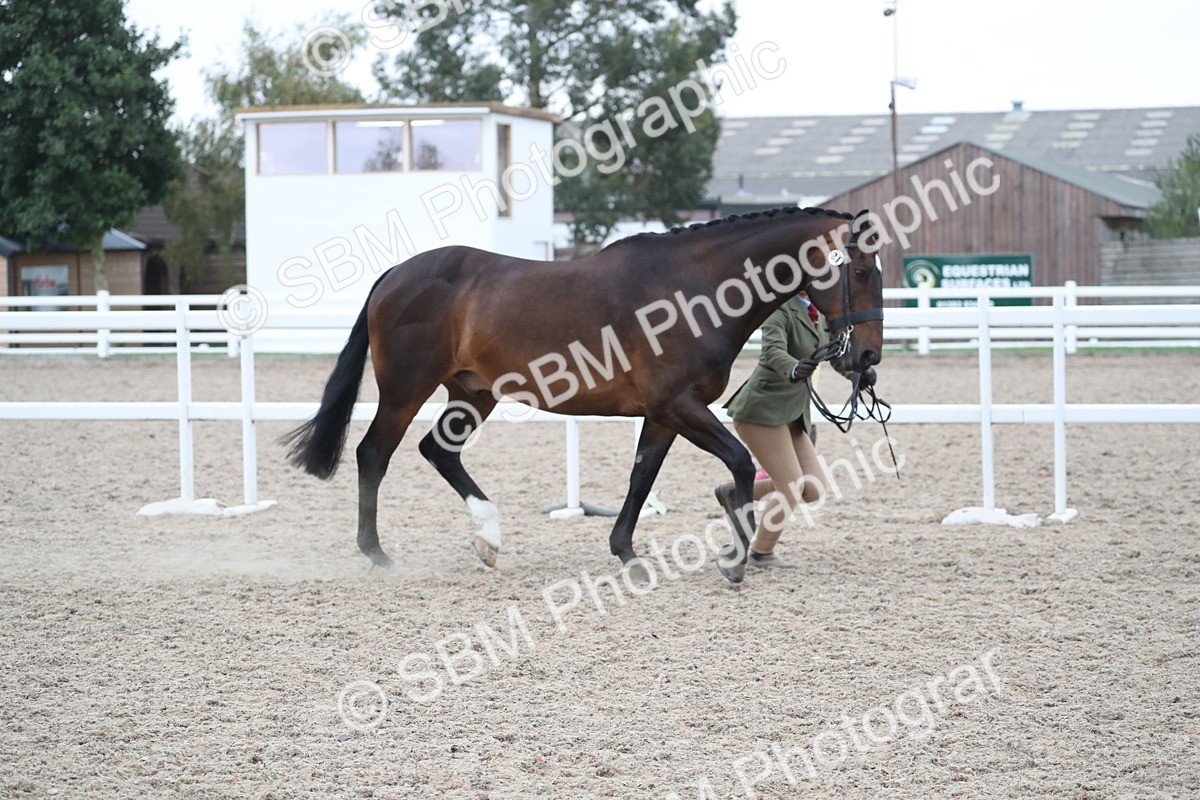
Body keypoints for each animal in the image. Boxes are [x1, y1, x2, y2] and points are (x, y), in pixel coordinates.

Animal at [283, 206, 885, 583]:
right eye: (859, 270)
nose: (867, 360)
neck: (694, 290)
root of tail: (395, 275)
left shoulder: (663, 415)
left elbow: (642, 478)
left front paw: (627, 554)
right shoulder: (679, 407)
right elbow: (737, 462)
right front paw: (732, 559)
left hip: (474, 393)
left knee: (438, 451)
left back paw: (489, 539)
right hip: (405, 390)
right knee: (374, 454)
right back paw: (378, 554)